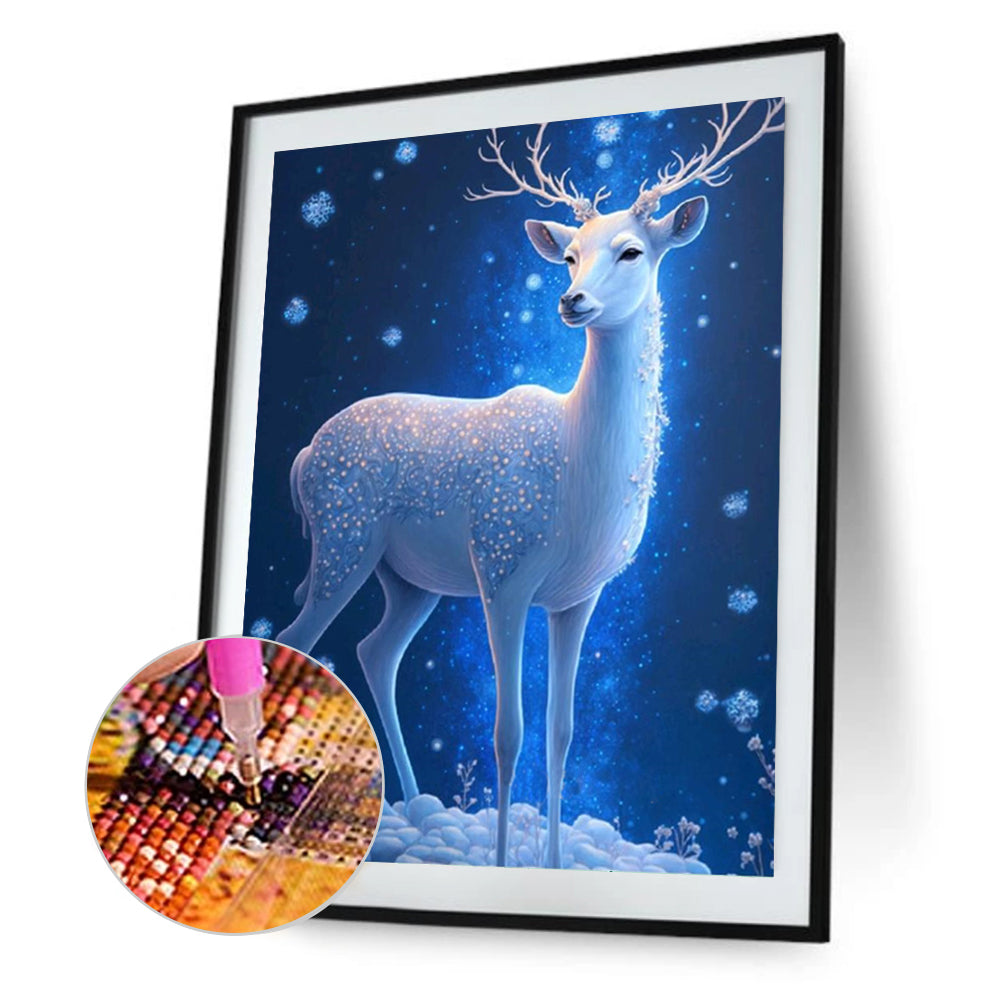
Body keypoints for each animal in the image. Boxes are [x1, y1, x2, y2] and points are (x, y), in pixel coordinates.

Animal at [276, 99, 784, 869]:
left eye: (632, 251)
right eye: (569, 255)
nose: (571, 300)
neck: (580, 477)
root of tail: (305, 453)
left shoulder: (578, 595)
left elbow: (562, 732)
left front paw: (549, 861)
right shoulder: (503, 567)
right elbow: (506, 730)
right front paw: (498, 860)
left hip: (408, 577)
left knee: (374, 650)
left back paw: (408, 804)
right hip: (344, 534)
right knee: (299, 637)